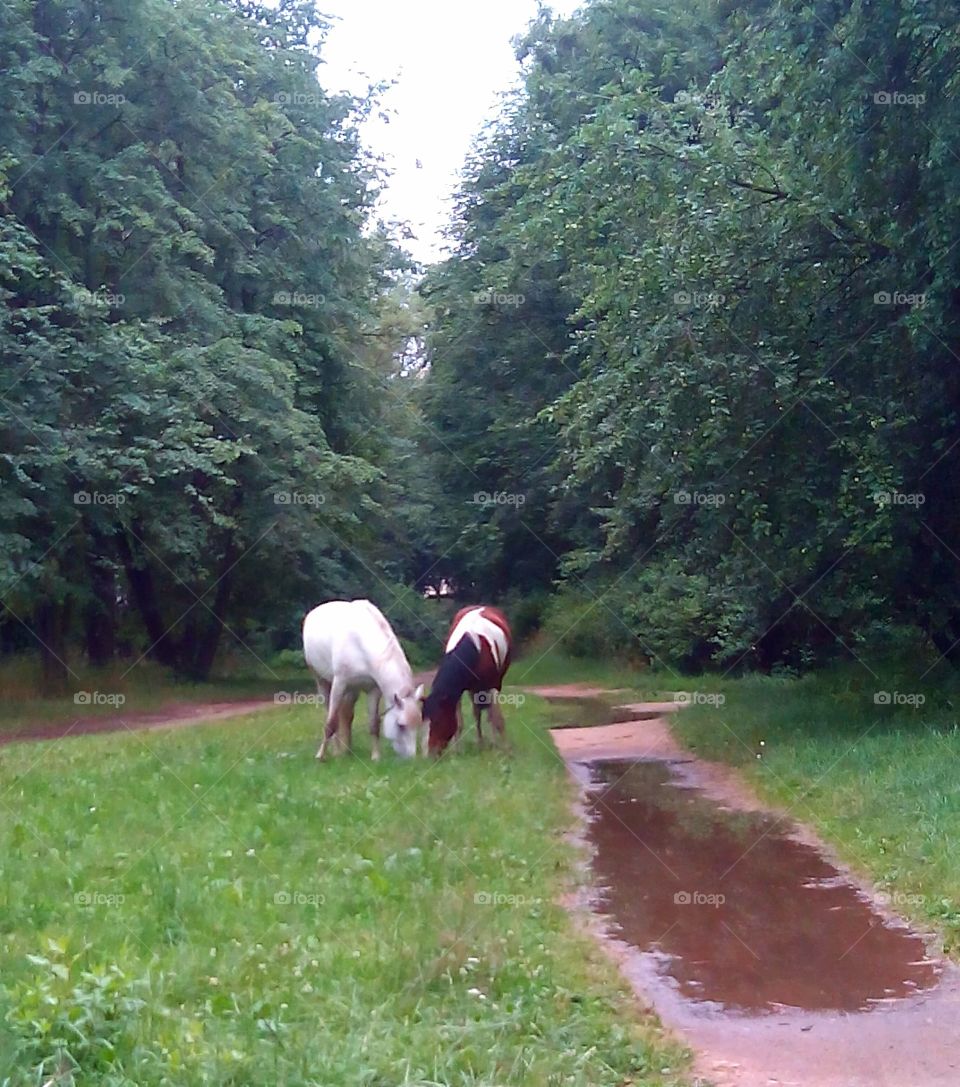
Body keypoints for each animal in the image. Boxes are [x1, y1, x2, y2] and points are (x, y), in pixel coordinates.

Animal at [300, 600, 419, 760]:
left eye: (418, 724)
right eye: (401, 725)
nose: (411, 758)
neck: (360, 644)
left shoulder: (373, 690)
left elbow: (374, 724)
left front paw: (376, 756)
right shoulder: (339, 684)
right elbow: (331, 723)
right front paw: (320, 756)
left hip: (352, 690)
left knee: (347, 715)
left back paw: (347, 750)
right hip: (322, 681)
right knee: (332, 713)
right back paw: (337, 751)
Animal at [419, 604, 510, 756]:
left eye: (437, 721)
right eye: (423, 720)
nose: (430, 754)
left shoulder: (493, 685)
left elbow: (496, 717)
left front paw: (502, 748)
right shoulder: (458, 691)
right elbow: (460, 722)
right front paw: (457, 751)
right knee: (477, 713)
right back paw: (480, 743)